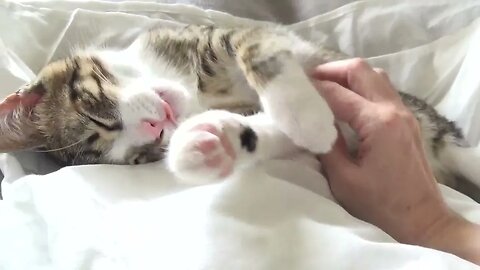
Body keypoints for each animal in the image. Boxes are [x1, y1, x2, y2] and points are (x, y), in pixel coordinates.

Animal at [0, 25, 480, 200]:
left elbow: (255, 43)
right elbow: (272, 132)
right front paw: (214, 142)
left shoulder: (294, 49)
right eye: (138, 158)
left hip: (436, 129)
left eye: (98, 117)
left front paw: (304, 113)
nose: (155, 128)